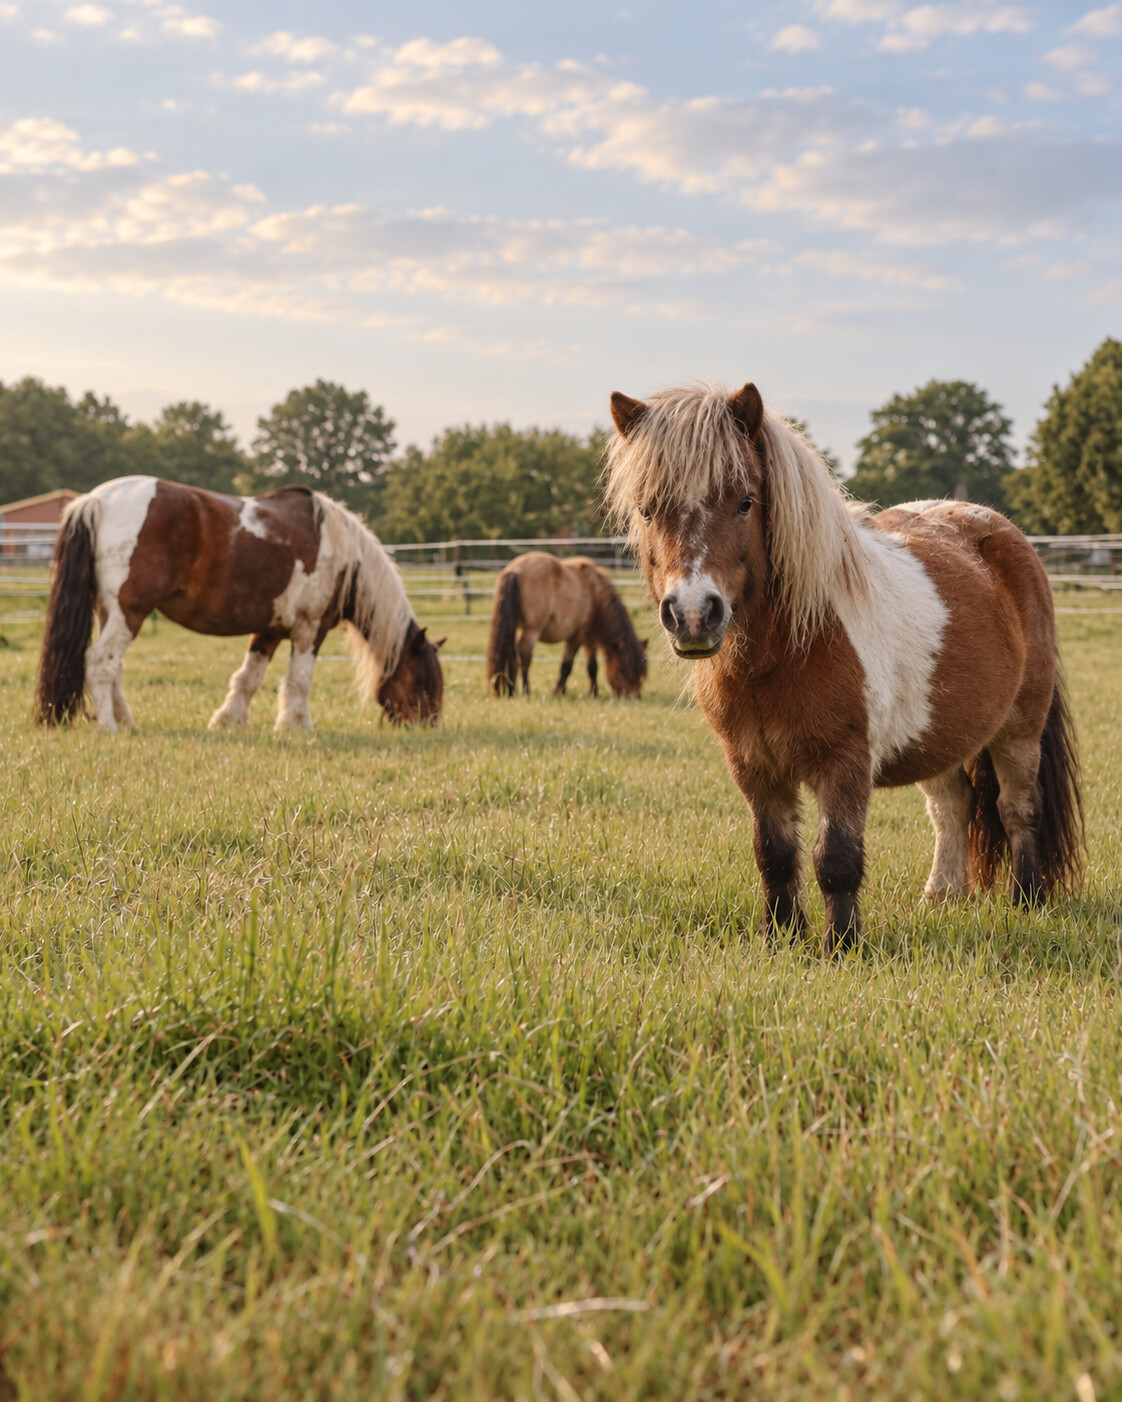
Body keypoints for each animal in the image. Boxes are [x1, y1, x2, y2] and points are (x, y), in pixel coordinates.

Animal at [34, 475, 444, 732]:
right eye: (421, 680)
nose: (428, 726)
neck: (344, 553)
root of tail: (95, 501)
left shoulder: (270, 629)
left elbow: (249, 677)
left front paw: (228, 720)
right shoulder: (310, 630)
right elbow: (298, 681)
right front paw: (297, 726)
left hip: (110, 613)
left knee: (113, 668)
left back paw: (125, 720)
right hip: (128, 613)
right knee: (99, 663)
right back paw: (109, 725)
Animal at [487, 552, 648, 698]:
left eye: (640, 673)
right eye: (622, 671)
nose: (634, 697)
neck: (595, 594)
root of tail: (514, 570)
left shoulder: (590, 639)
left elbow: (592, 666)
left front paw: (593, 693)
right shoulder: (577, 637)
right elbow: (567, 666)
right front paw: (558, 692)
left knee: (511, 653)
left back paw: (511, 689)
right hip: (532, 629)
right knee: (525, 654)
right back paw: (526, 690)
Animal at [605, 380, 1083, 953]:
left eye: (745, 502)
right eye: (647, 510)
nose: (694, 614)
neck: (782, 653)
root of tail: (1001, 532)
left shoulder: (846, 762)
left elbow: (835, 858)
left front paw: (842, 947)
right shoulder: (752, 765)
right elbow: (774, 853)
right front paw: (782, 937)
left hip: (1019, 729)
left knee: (1018, 808)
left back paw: (1027, 900)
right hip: (939, 736)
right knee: (953, 808)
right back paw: (942, 898)